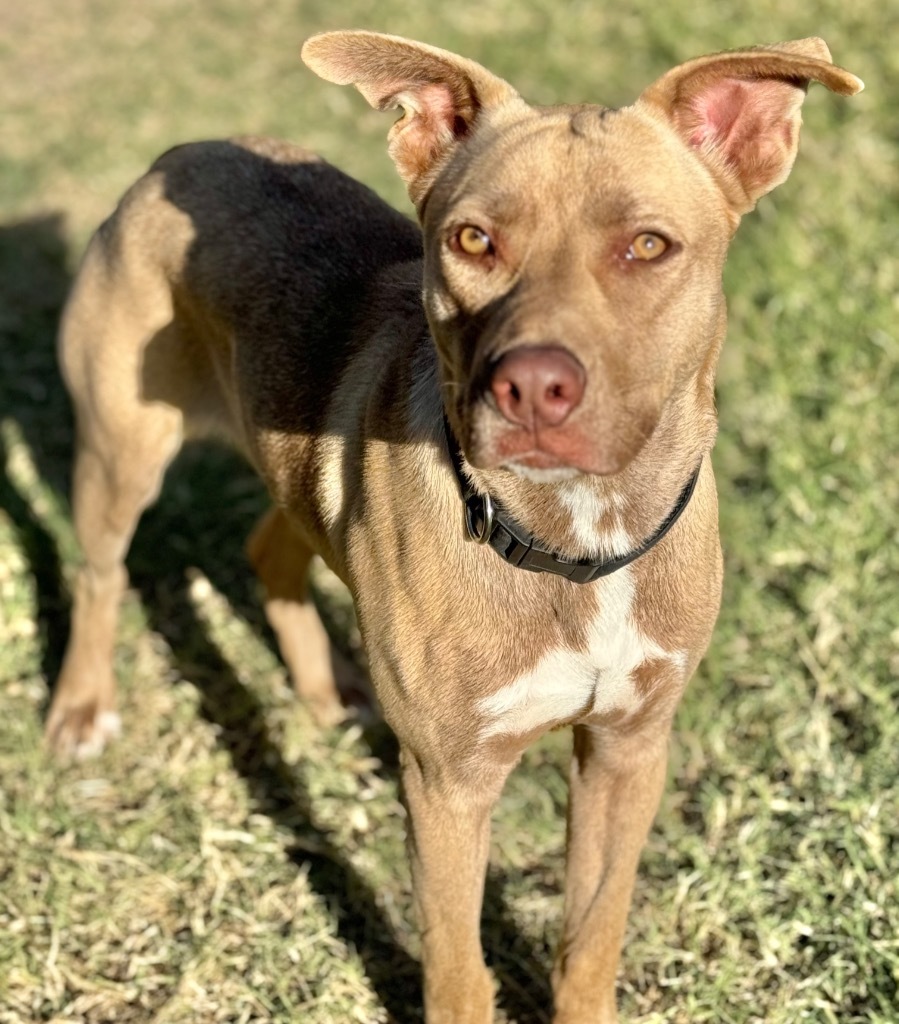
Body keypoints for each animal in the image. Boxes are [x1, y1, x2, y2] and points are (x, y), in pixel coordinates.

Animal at [49, 32, 864, 1024]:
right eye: (473, 239)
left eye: (647, 246)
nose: (532, 387)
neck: (572, 546)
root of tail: (188, 150)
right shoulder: (447, 785)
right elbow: (455, 966)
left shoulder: (629, 750)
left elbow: (590, 937)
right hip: (120, 450)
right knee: (100, 572)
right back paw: (82, 708)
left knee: (267, 547)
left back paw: (325, 692)